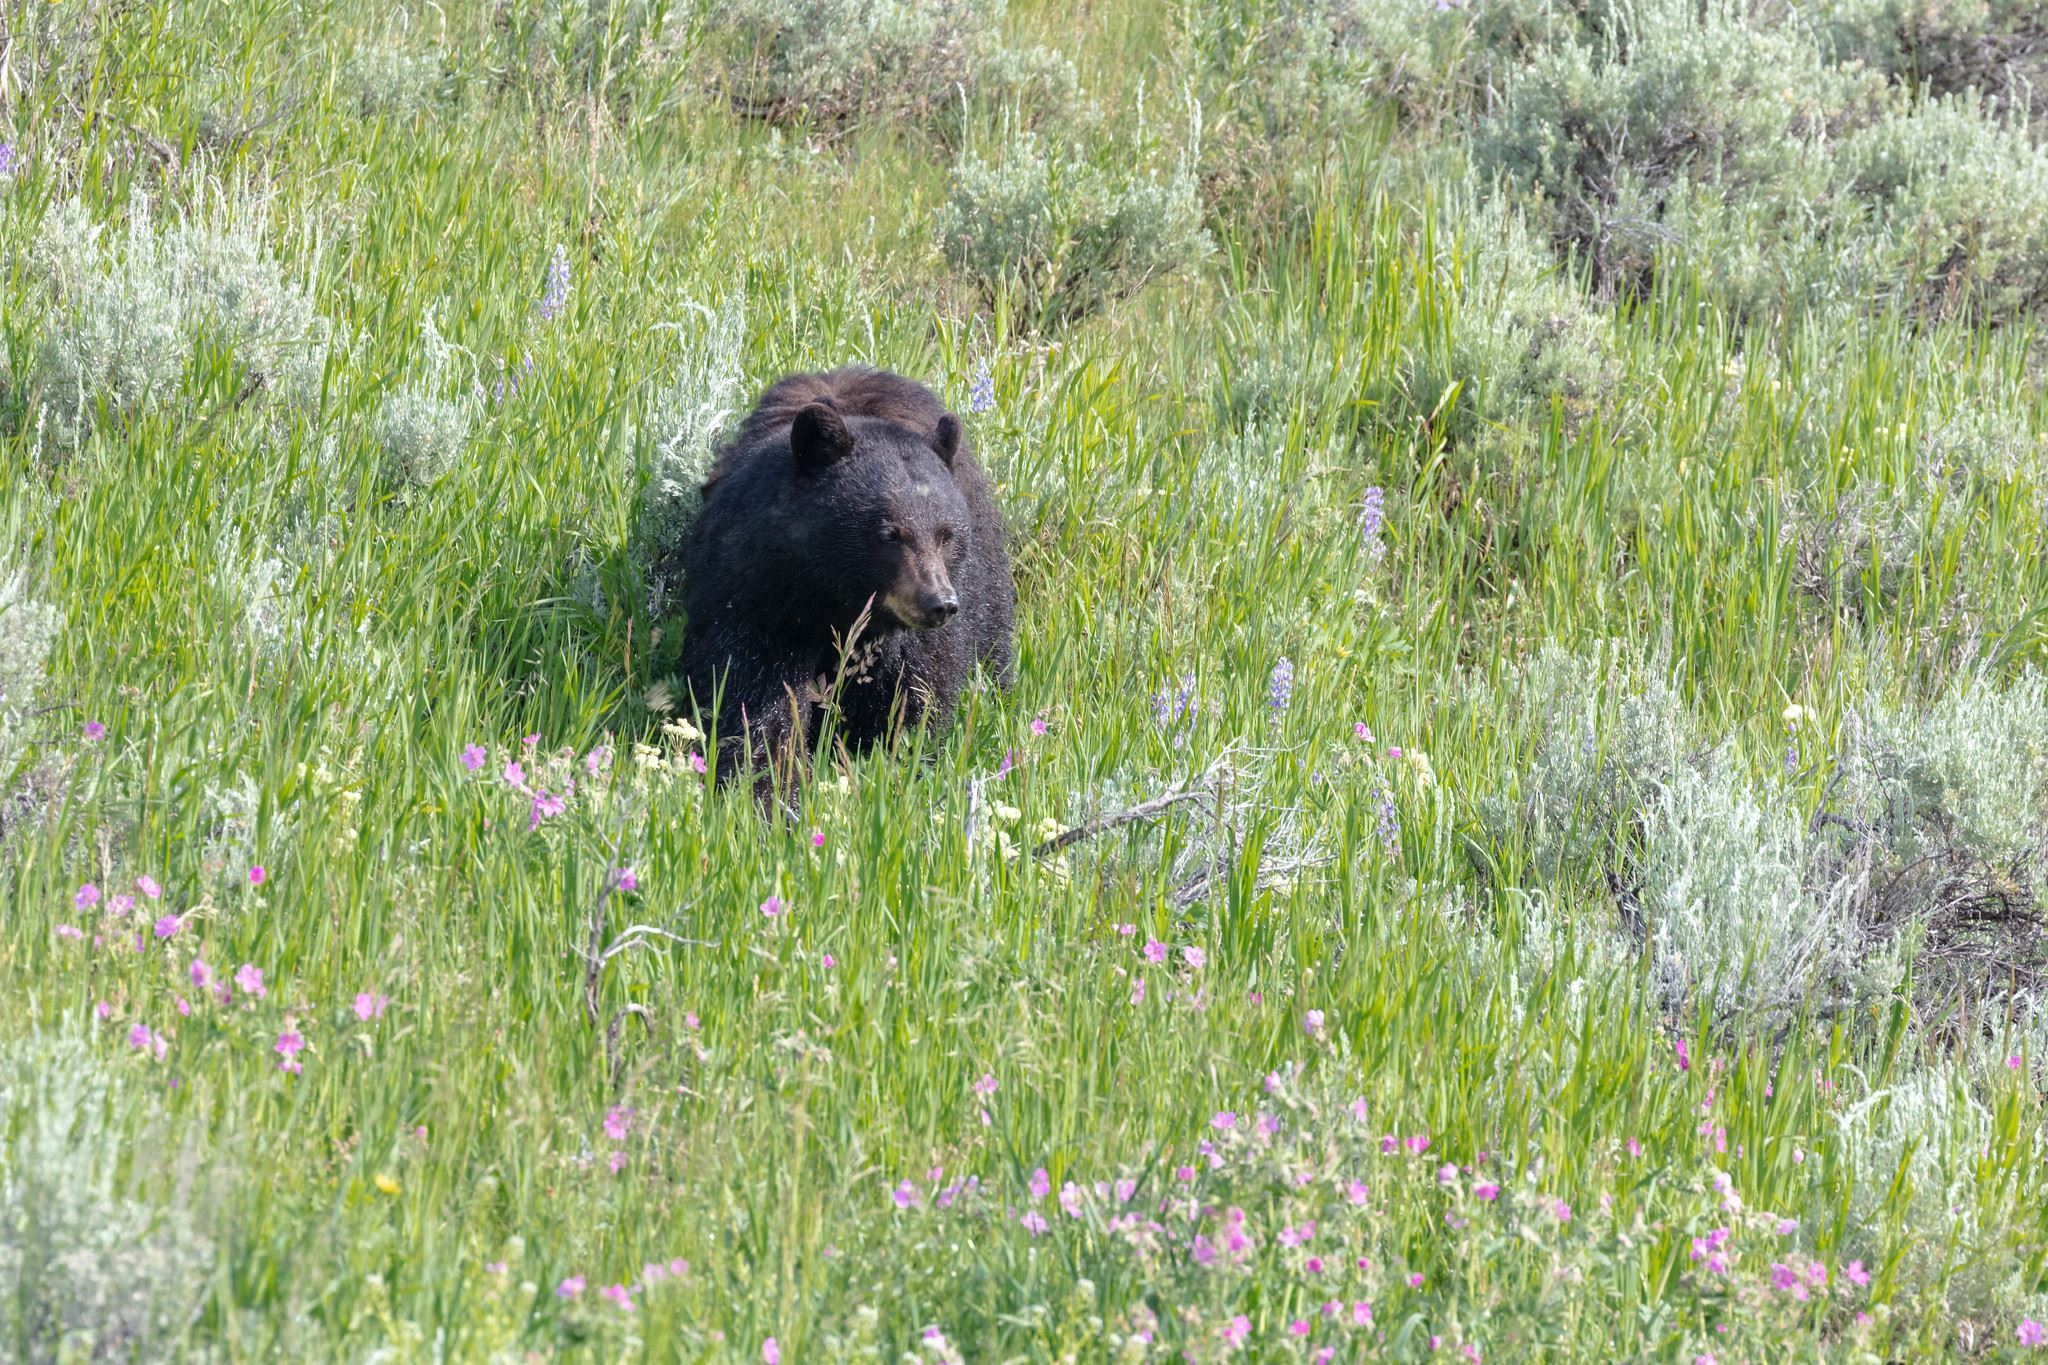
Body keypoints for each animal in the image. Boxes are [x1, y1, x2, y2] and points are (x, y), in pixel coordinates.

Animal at [677, 366, 1015, 792]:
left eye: (946, 535)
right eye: (889, 533)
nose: (939, 603)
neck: (835, 598)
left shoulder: (917, 642)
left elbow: (914, 701)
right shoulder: (756, 595)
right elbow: (755, 693)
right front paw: (770, 784)